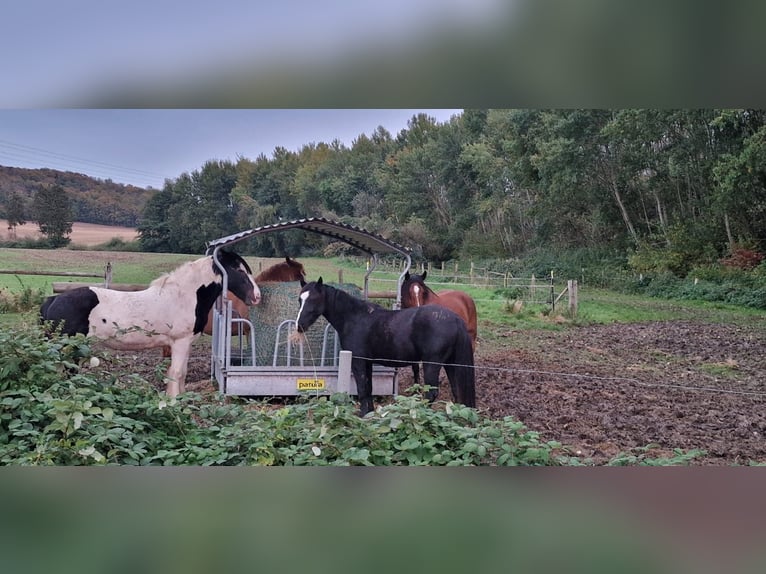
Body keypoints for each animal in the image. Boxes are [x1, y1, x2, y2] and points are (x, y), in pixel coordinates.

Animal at [40, 250, 261, 397]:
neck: (183, 296)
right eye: (238, 269)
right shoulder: (179, 342)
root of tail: (53, 300)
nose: (257, 296)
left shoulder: (186, 343)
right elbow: (176, 373)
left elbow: (182, 373)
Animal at [296, 277, 476, 417]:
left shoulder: (358, 361)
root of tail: (456, 319)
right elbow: (368, 387)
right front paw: (370, 413)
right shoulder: (367, 362)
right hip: (450, 364)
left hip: (432, 364)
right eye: (300, 300)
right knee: (456, 391)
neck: (355, 318)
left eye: (314, 299)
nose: (299, 325)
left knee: (431, 393)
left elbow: (362, 389)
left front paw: (363, 415)